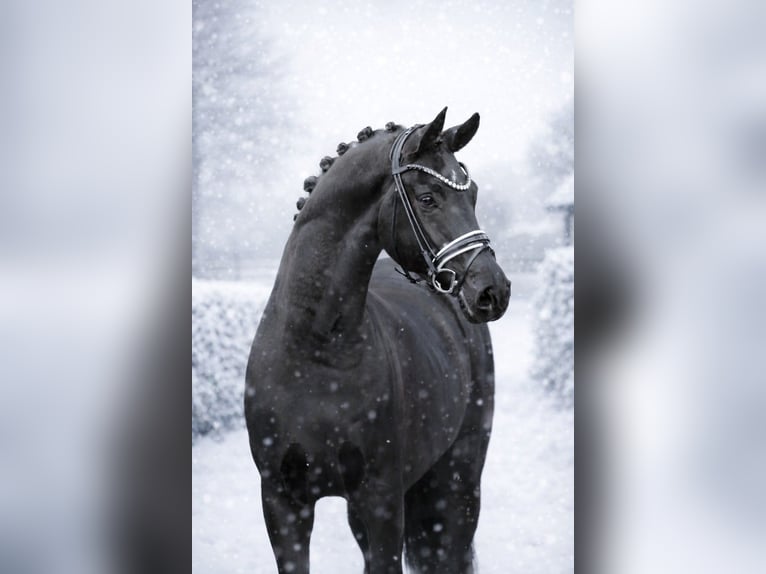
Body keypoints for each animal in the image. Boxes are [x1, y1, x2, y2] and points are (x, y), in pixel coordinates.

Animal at [245, 107, 511, 574]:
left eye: (473, 193)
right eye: (427, 197)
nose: (492, 291)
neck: (316, 353)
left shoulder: (380, 499)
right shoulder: (282, 500)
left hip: (461, 474)